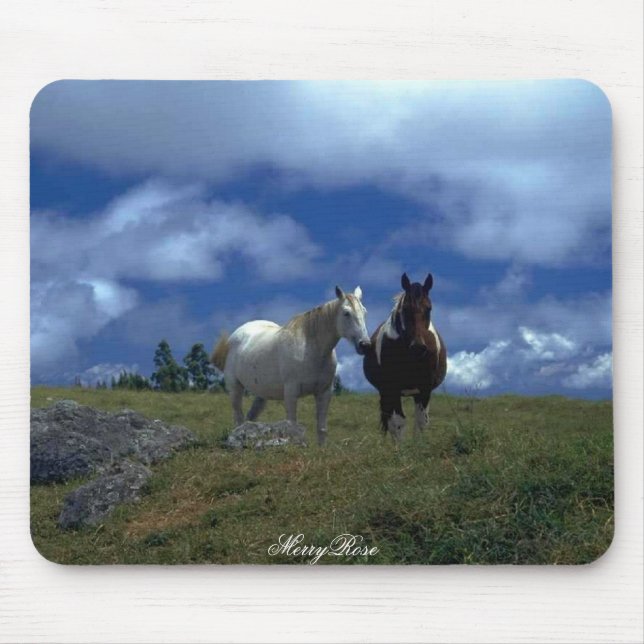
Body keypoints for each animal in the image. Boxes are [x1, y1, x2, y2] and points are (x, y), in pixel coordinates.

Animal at [211, 286, 370, 446]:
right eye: (346, 313)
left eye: (364, 312)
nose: (365, 345)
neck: (310, 349)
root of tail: (234, 336)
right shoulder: (291, 392)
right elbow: (292, 425)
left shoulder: (324, 392)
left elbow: (322, 428)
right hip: (235, 388)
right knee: (238, 418)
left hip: (261, 394)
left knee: (249, 419)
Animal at [363, 272, 447, 443]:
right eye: (406, 308)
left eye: (429, 308)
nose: (418, 347)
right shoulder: (391, 389)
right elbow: (398, 423)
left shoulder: (425, 389)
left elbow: (421, 422)